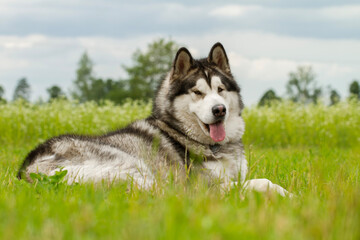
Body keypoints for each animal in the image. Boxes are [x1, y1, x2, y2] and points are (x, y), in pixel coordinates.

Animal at [17, 42, 292, 197]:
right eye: (198, 92)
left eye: (220, 89)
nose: (219, 110)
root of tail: (27, 170)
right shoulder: (204, 184)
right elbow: (256, 183)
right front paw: (286, 197)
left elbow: (264, 181)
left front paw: (289, 193)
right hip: (134, 168)